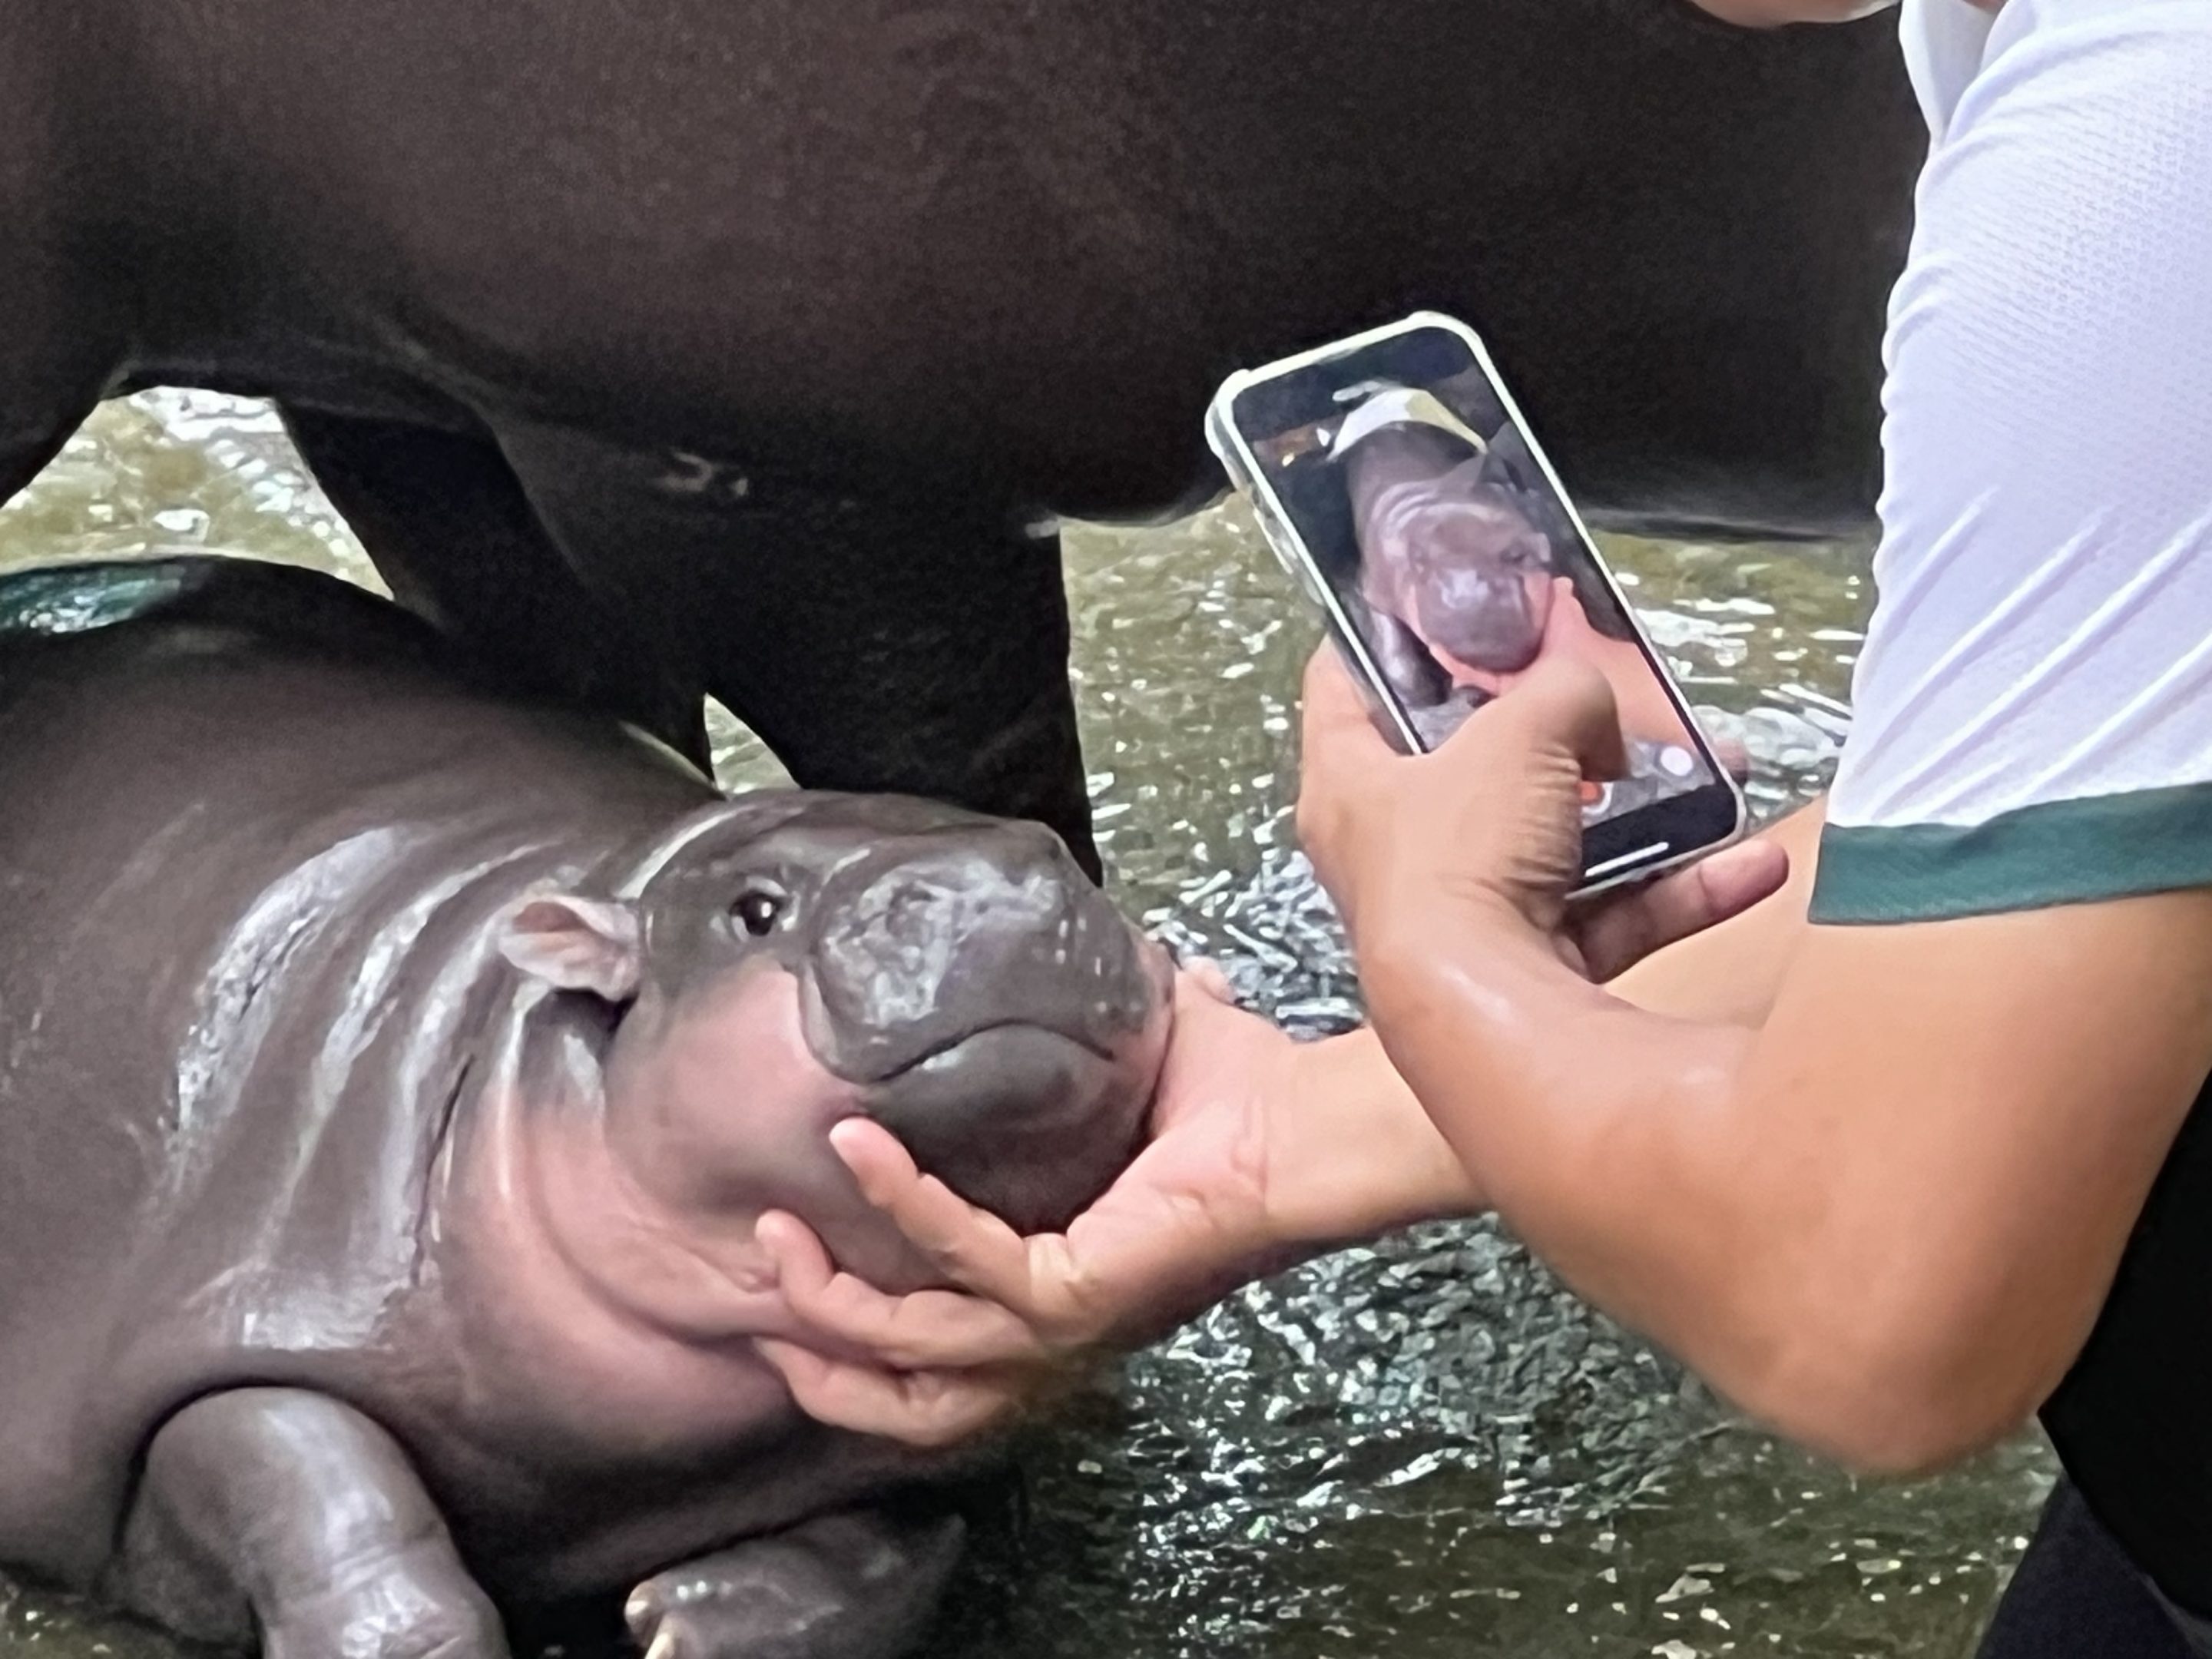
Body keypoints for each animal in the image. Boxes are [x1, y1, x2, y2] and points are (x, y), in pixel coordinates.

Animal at [0, 556, 1173, 1659]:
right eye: (756, 910)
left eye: (1054, 851)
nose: (991, 888)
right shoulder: (255, 1308)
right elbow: (329, 1502)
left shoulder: (944, 1433)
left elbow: (894, 1549)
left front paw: (685, 1617)